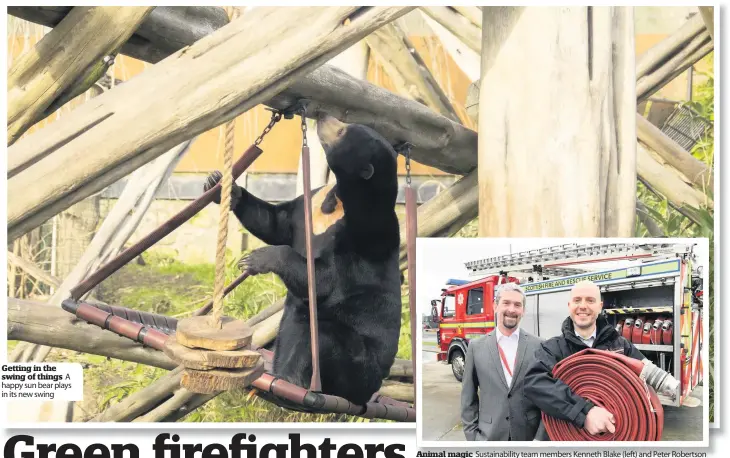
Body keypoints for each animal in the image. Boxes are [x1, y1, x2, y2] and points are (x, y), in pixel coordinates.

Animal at [202, 113, 400, 404]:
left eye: (342, 131)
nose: (324, 116)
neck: (339, 201)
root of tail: (368, 391)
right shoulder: (309, 205)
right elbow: (276, 222)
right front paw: (219, 185)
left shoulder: (363, 235)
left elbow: (324, 280)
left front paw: (254, 259)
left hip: (357, 363)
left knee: (318, 336)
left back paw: (291, 382)